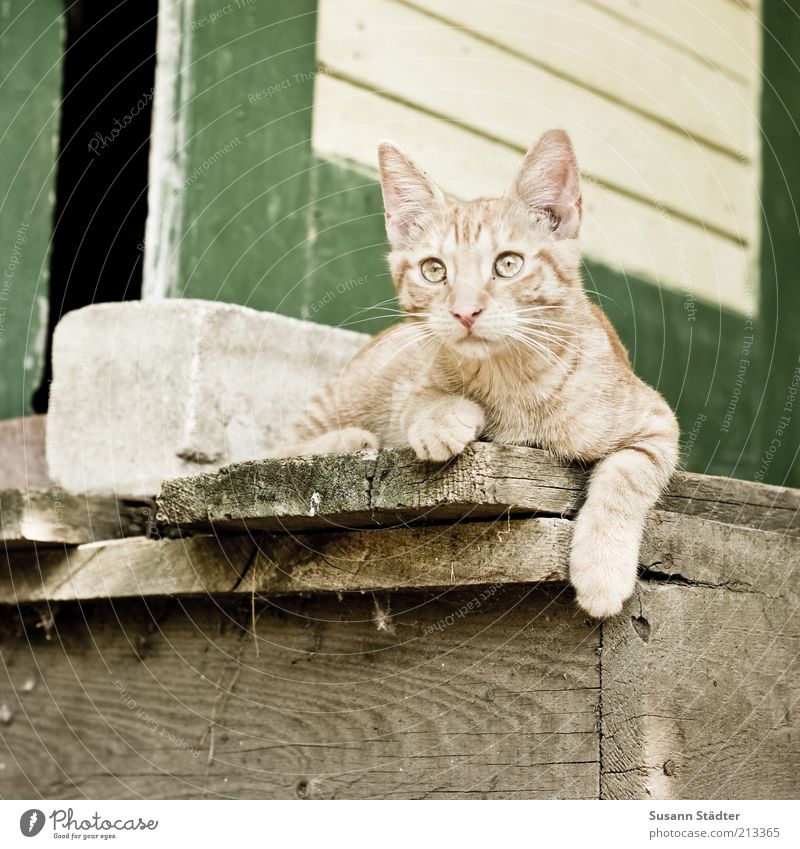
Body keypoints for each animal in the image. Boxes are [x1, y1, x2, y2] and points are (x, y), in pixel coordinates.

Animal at [282, 129, 676, 616]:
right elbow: (419, 401)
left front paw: (602, 572)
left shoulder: (657, 425)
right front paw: (443, 418)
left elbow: (625, 480)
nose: (465, 311)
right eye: (434, 270)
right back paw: (352, 439)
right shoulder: (414, 378)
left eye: (508, 264)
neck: (510, 376)